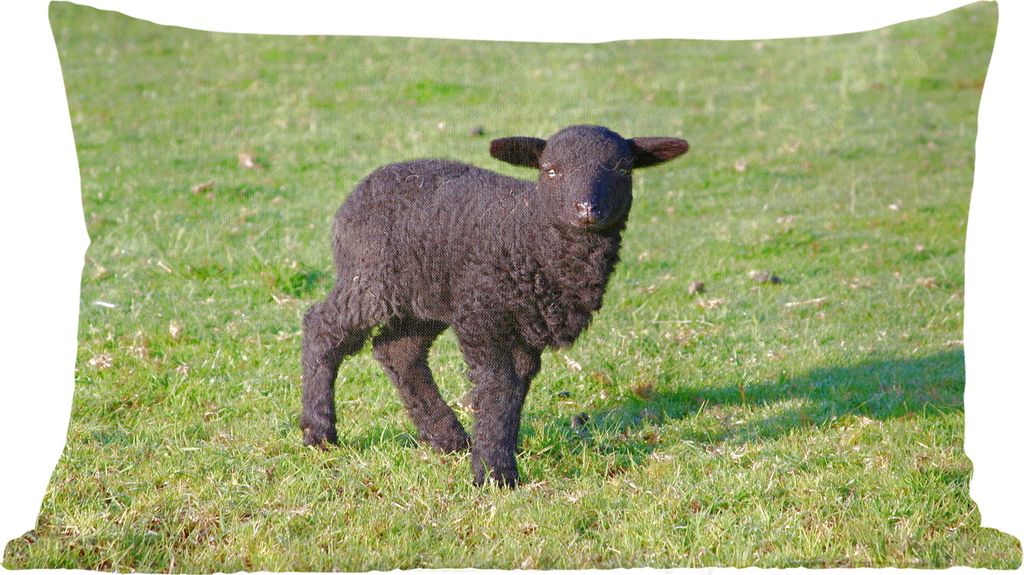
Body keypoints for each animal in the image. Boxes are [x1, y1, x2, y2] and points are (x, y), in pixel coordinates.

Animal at [301, 125, 689, 487]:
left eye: (623, 169)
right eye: (550, 170)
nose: (587, 209)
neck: (529, 232)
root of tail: (364, 186)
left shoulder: (523, 329)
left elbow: (514, 390)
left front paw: (497, 451)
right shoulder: (484, 318)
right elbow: (497, 387)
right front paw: (494, 473)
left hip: (428, 294)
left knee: (397, 350)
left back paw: (448, 438)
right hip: (370, 279)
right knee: (323, 327)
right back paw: (319, 430)